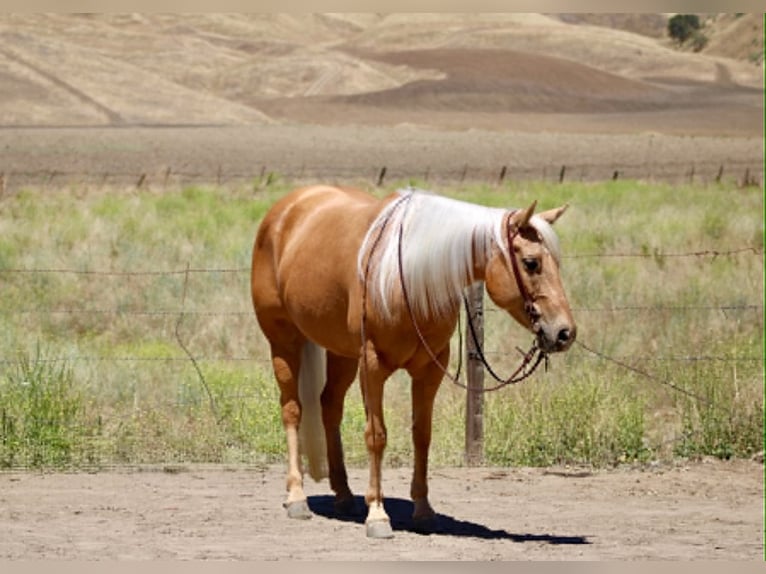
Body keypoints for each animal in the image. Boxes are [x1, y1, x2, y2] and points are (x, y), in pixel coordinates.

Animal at [250, 184, 576, 538]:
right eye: (531, 263)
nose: (564, 332)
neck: (406, 274)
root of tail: (286, 208)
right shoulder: (372, 365)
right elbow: (376, 436)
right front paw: (378, 514)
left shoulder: (430, 369)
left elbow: (422, 434)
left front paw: (423, 510)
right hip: (285, 342)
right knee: (292, 409)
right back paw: (296, 497)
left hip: (341, 353)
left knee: (329, 406)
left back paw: (345, 495)